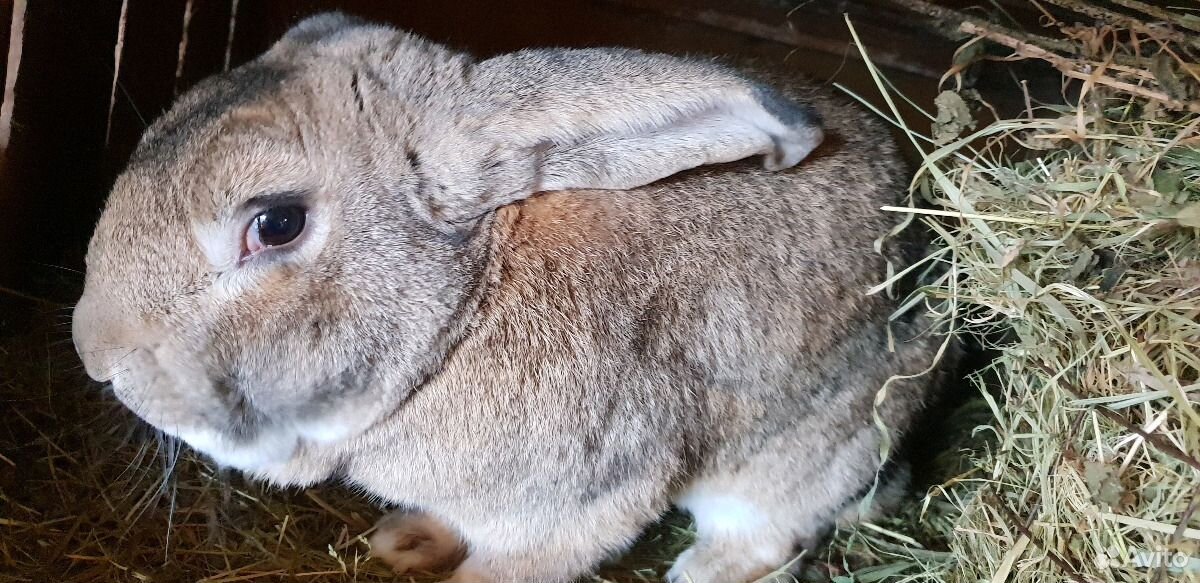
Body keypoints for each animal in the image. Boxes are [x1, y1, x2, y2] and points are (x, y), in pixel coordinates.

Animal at [72, 10, 945, 583]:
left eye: (277, 223)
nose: (95, 354)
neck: (463, 317)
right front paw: (406, 540)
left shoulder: (578, 507)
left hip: (802, 454)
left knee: (770, 533)